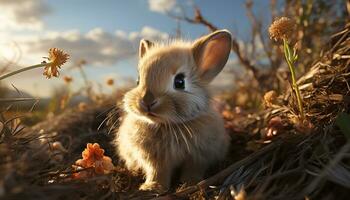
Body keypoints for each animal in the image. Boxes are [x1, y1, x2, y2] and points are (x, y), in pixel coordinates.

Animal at [115, 30, 232, 192]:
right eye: (138, 81)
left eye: (180, 82)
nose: (147, 101)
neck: (169, 125)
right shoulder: (155, 159)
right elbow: (157, 171)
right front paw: (152, 187)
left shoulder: (198, 157)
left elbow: (193, 170)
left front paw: (190, 183)